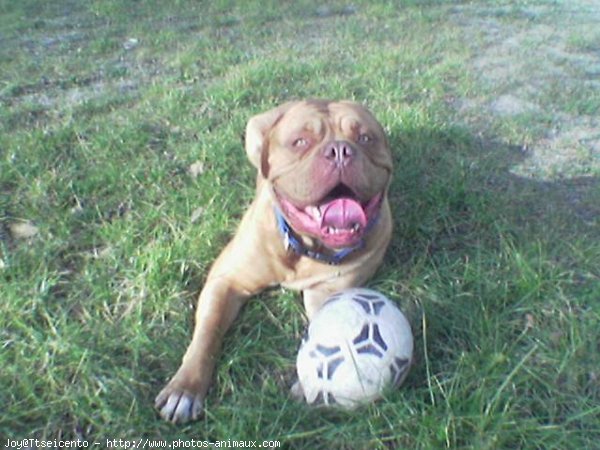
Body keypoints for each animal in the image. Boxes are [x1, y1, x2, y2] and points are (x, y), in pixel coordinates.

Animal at [155, 98, 394, 422]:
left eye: (365, 138)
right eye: (300, 142)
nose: (340, 151)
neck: (302, 246)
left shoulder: (328, 293)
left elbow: (323, 328)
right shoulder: (226, 281)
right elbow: (207, 331)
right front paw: (185, 388)